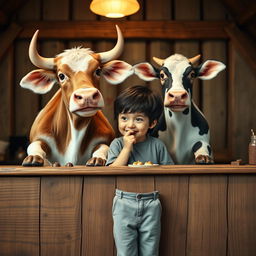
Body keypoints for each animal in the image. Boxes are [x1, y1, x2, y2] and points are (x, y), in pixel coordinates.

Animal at [20, 25, 133, 166]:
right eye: (61, 75)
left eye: (98, 71)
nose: (87, 96)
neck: (76, 129)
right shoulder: (39, 136)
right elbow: (34, 146)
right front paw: (33, 157)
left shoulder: (105, 139)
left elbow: (104, 148)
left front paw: (97, 159)